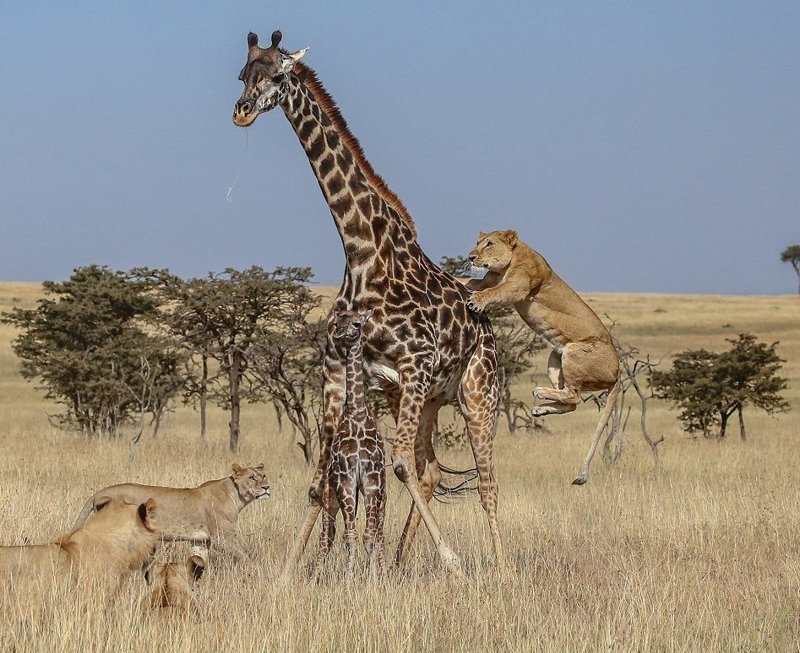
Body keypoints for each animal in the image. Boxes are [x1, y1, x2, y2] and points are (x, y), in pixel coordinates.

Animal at [314, 308, 386, 580]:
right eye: (337, 321)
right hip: (332, 497)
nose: (340, 334)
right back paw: (316, 577)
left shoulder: (372, 481)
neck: (356, 412)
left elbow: (370, 536)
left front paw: (374, 578)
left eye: (357, 323)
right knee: (327, 536)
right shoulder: (346, 480)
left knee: (377, 532)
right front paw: (349, 578)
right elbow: (351, 535)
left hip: (377, 493)